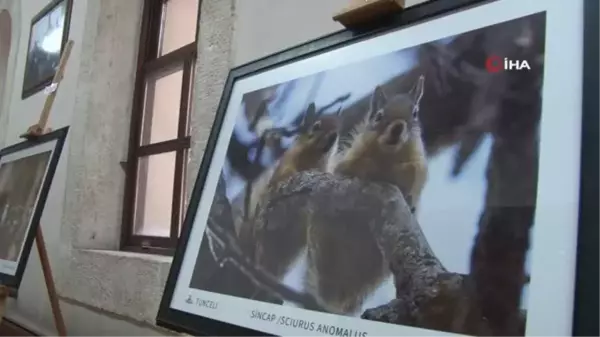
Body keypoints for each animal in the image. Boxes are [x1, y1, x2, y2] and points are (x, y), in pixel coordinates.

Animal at [240, 103, 342, 280]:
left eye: (338, 127)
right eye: (316, 126)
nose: (333, 136)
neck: (315, 155)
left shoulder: (324, 167)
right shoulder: (288, 161)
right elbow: (286, 173)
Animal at [302, 75, 428, 312]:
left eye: (415, 113)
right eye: (378, 116)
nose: (398, 128)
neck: (388, 157)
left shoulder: (416, 169)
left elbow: (412, 183)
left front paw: (409, 200)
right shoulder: (350, 159)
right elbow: (348, 170)